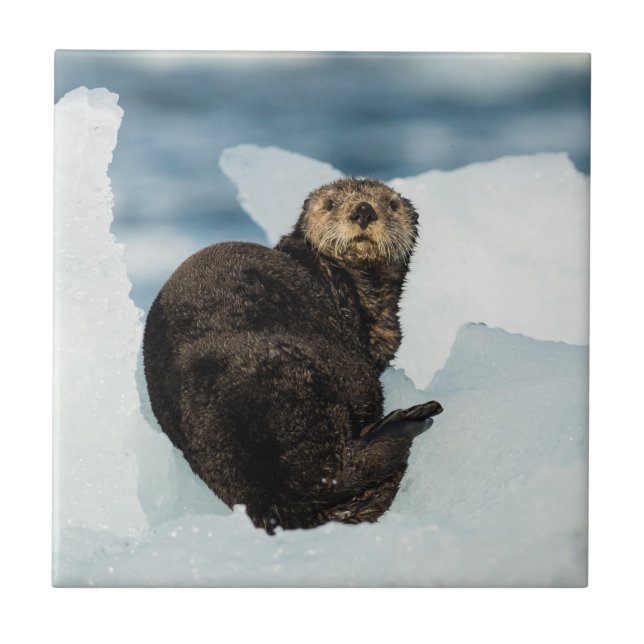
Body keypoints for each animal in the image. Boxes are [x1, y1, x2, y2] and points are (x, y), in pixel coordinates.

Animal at [143, 178, 442, 532]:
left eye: (391, 204)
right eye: (330, 204)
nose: (363, 211)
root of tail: (268, 496)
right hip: (306, 381)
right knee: (337, 470)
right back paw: (410, 419)